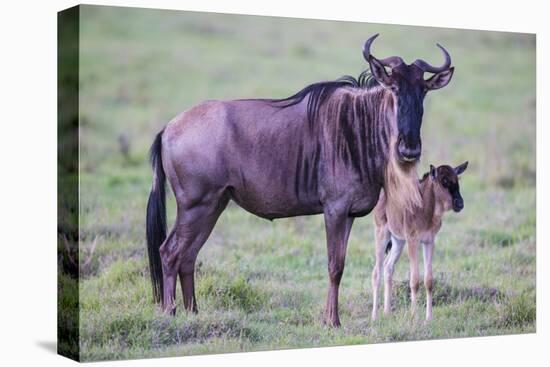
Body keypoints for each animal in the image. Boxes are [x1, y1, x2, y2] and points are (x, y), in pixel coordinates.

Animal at [370, 162, 470, 320]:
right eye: (444, 181)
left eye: (457, 179)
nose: (459, 204)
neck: (424, 208)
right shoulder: (413, 241)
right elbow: (414, 280)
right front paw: (414, 317)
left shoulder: (429, 242)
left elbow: (428, 280)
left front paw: (429, 318)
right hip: (382, 234)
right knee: (376, 272)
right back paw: (375, 316)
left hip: (398, 241)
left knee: (388, 266)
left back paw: (387, 312)